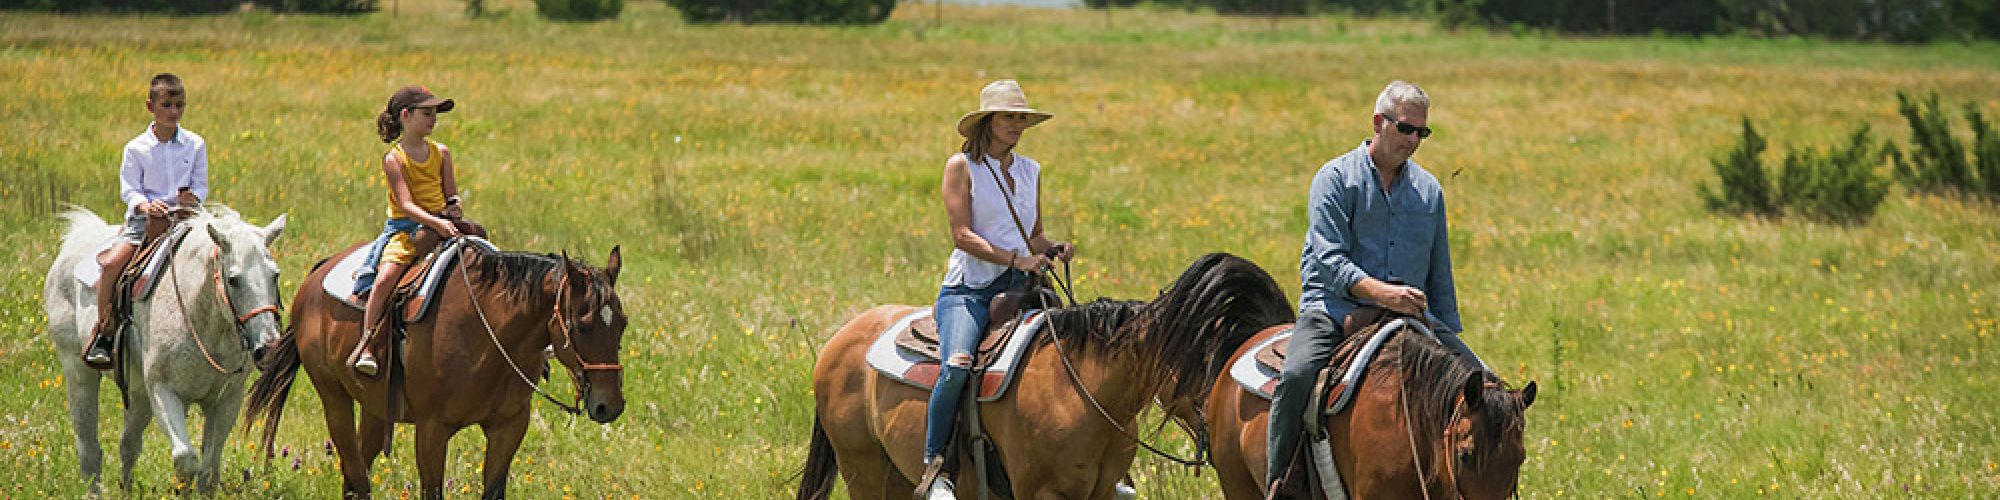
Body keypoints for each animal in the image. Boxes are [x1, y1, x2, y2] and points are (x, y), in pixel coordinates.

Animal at [41, 205, 290, 490]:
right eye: (234, 279)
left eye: (275, 275)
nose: (268, 347)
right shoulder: (164, 392)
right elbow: (185, 460)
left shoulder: (226, 401)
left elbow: (208, 473)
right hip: (79, 374)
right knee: (89, 448)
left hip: (138, 393)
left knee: (129, 445)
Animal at [245, 240, 628, 498]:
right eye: (583, 326)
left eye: (622, 324)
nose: (609, 405)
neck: (488, 334)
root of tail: (317, 275)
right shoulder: (431, 431)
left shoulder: (509, 427)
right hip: (333, 397)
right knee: (355, 474)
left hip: (374, 409)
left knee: (356, 475)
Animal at [796, 254, 1296, 500]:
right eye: (1210, 356)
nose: (1231, 411)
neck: (1085, 388)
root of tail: (842, 339)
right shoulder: (1042, 493)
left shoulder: (1099, 493)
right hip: (863, 469)